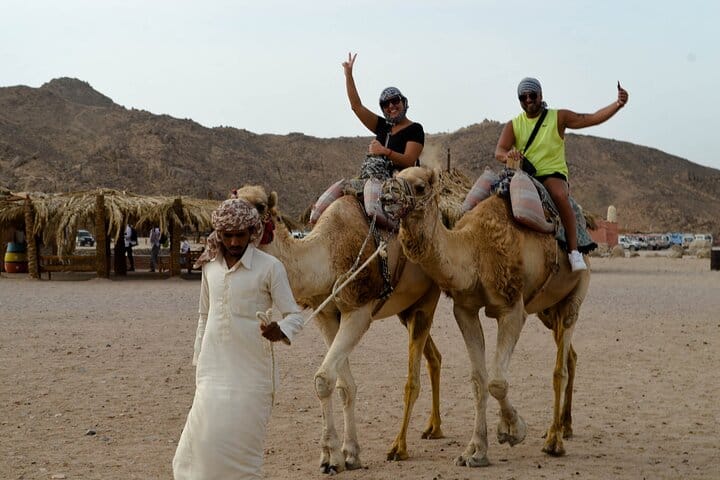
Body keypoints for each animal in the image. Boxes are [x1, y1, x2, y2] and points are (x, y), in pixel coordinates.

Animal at [233, 184, 446, 474]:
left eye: (259, 206)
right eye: (232, 198)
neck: (325, 256)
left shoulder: (358, 311)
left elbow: (324, 378)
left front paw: (333, 458)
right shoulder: (326, 315)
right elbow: (344, 385)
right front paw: (348, 454)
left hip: (427, 298)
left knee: (415, 376)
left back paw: (400, 447)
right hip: (406, 309)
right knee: (434, 357)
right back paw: (433, 428)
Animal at [381, 166, 590, 467]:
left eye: (420, 186)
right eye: (396, 176)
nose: (386, 195)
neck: (475, 250)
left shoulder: (512, 309)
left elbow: (497, 382)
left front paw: (513, 430)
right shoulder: (464, 309)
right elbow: (479, 380)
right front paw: (476, 450)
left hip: (575, 293)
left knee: (559, 368)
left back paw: (554, 441)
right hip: (547, 309)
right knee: (570, 356)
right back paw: (566, 426)